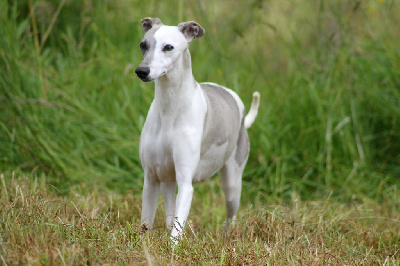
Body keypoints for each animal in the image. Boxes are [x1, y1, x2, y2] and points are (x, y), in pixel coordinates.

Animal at [134, 17, 260, 243]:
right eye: (143, 45)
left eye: (168, 47)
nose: (142, 71)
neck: (170, 109)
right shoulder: (151, 178)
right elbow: (146, 223)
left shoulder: (185, 182)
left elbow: (176, 230)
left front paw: (172, 248)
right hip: (167, 181)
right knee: (169, 212)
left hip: (232, 186)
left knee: (230, 216)